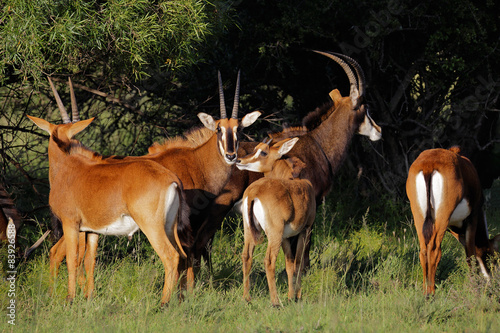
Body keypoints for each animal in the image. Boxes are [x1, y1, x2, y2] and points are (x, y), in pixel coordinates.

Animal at [46, 72, 262, 290]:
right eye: (218, 129)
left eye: (239, 129)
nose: (231, 155)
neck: (196, 161)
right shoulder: (190, 222)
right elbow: (190, 255)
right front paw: (189, 290)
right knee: (62, 253)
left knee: (58, 252)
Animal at [235, 137, 314, 306]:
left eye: (263, 151)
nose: (239, 160)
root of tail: (253, 193)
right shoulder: (305, 229)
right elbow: (298, 262)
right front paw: (297, 296)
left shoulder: (285, 236)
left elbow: (289, 264)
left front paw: (291, 296)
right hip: (274, 233)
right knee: (269, 261)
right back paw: (276, 302)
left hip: (250, 230)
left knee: (247, 256)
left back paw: (247, 298)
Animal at [406, 147, 500, 294]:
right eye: (493, 256)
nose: (493, 281)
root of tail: (428, 165)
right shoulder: (472, 217)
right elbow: (470, 253)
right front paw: (475, 285)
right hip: (443, 215)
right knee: (434, 250)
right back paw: (430, 293)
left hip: (419, 215)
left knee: (423, 250)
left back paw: (424, 290)